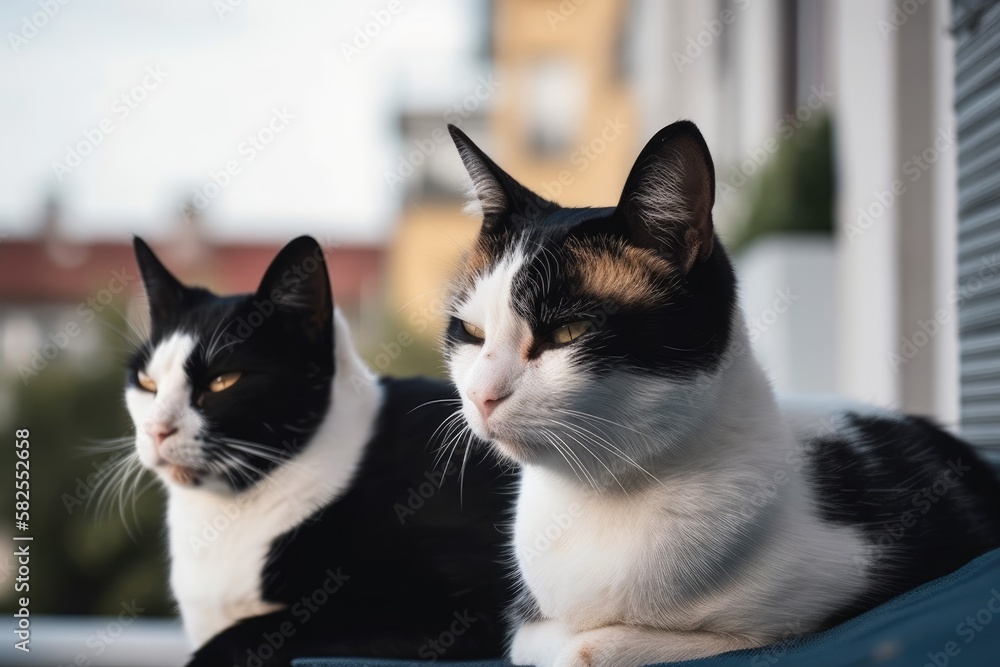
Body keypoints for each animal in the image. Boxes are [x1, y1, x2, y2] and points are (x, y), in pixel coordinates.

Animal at [125, 237, 516, 667]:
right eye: (146, 382)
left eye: (223, 381)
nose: (156, 429)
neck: (229, 511)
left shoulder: (459, 608)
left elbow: (257, 630)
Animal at [442, 121, 1000, 667]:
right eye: (470, 332)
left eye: (568, 332)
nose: (481, 396)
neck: (601, 493)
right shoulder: (529, 623)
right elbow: (533, 641)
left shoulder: (811, 608)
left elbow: (589, 648)